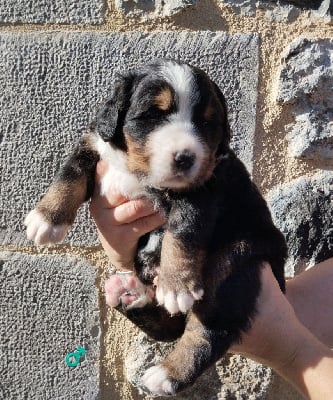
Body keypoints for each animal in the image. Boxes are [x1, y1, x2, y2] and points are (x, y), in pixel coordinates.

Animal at [25, 60, 286, 396]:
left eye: (206, 123)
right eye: (152, 115)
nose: (186, 157)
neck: (139, 172)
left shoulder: (202, 190)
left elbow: (182, 234)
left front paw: (177, 285)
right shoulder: (94, 143)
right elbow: (71, 172)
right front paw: (46, 219)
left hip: (235, 259)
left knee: (210, 329)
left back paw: (167, 373)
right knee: (170, 326)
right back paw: (130, 296)